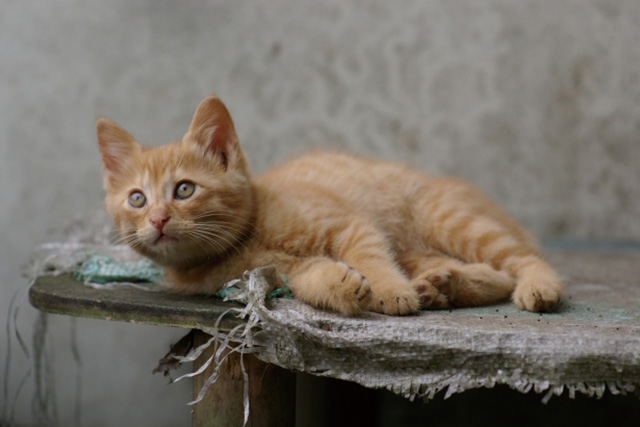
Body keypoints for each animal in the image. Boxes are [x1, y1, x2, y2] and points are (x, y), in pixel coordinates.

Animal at [95, 95, 560, 316]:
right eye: (137, 199)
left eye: (184, 190)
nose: (157, 219)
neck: (248, 236)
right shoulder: (273, 271)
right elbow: (307, 277)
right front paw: (341, 285)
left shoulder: (350, 225)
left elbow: (371, 257)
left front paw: (390, 292)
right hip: (418, 248)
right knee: (491, 273)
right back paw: (444, 286)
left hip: (448, 218)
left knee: (519, 259)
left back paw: (539, 286)